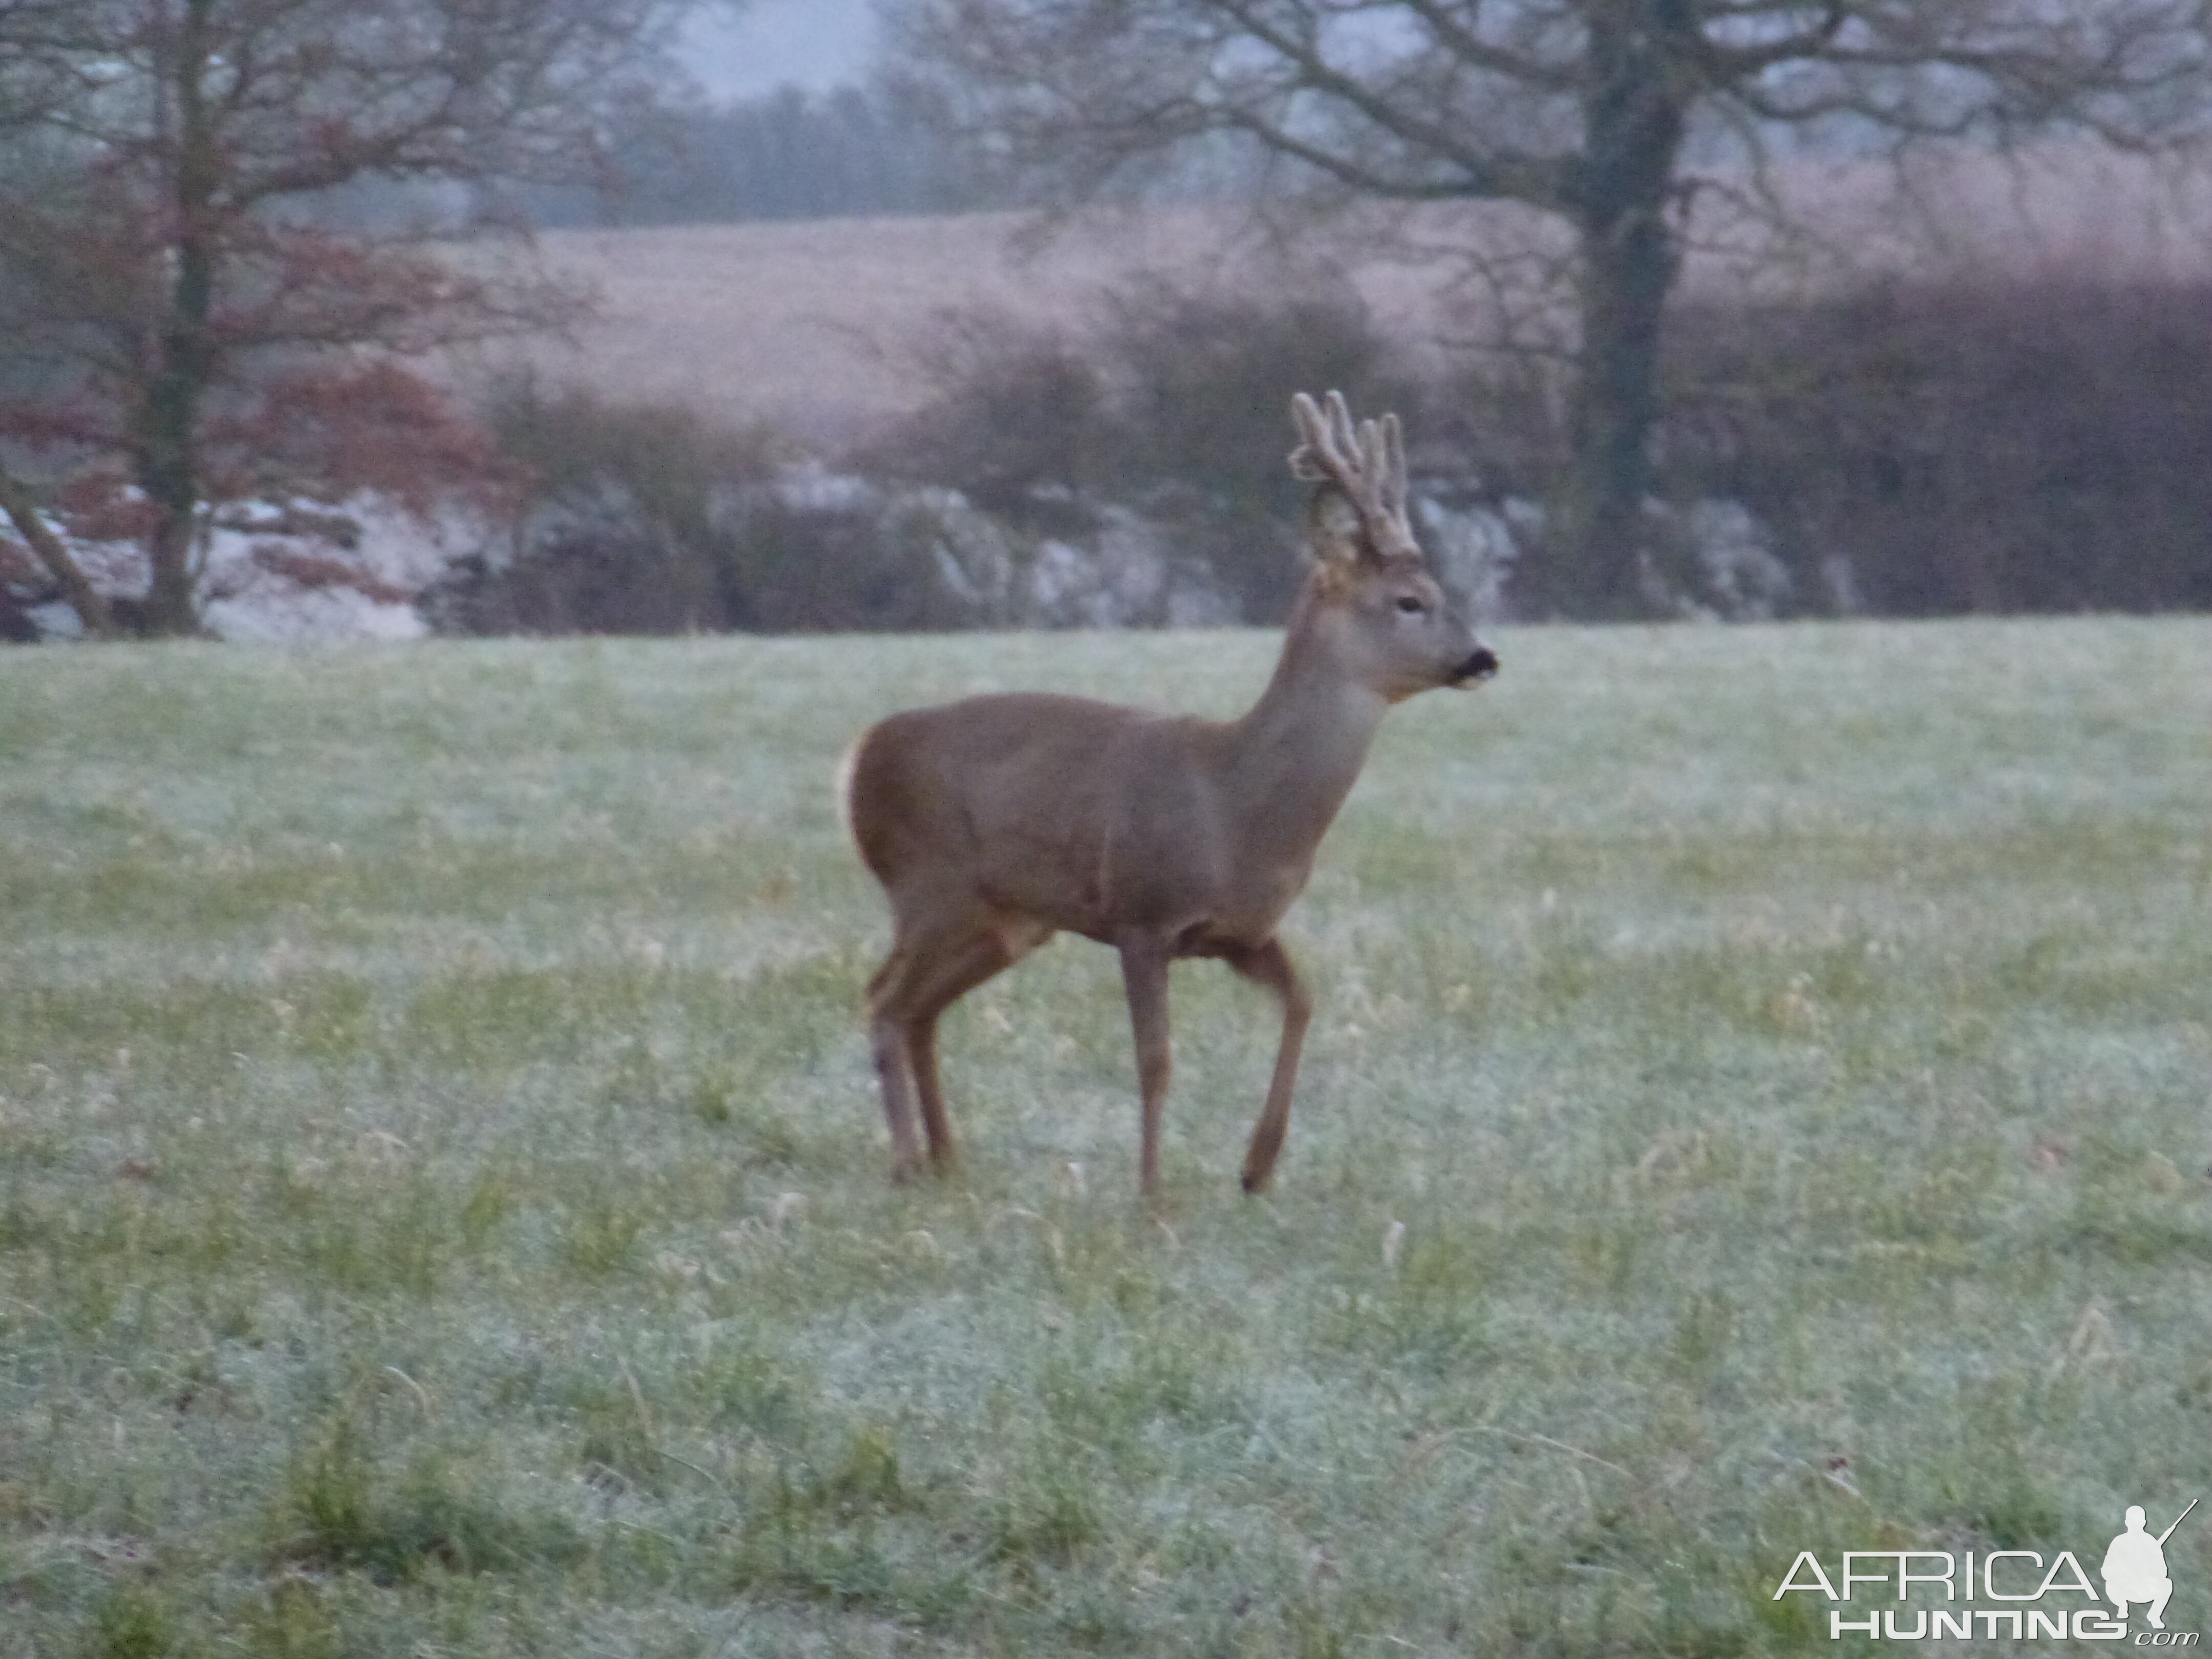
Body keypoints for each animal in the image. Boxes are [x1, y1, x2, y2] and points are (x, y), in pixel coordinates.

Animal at [836, 393, 1495, 1194]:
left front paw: (1256, 1166)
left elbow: (1304, 1001)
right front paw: (1152, 1193)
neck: (1236, 807)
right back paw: (907, 1162)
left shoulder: (1242, 931)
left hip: (1006, 920)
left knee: (920, 1011)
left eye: (1441, 596)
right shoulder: (1142, 915)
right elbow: (1155, 1061)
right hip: (929, 883)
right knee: (883, 999)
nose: (1482, 657)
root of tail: (861, 754)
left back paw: (947, 1162)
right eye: (1410, 601)